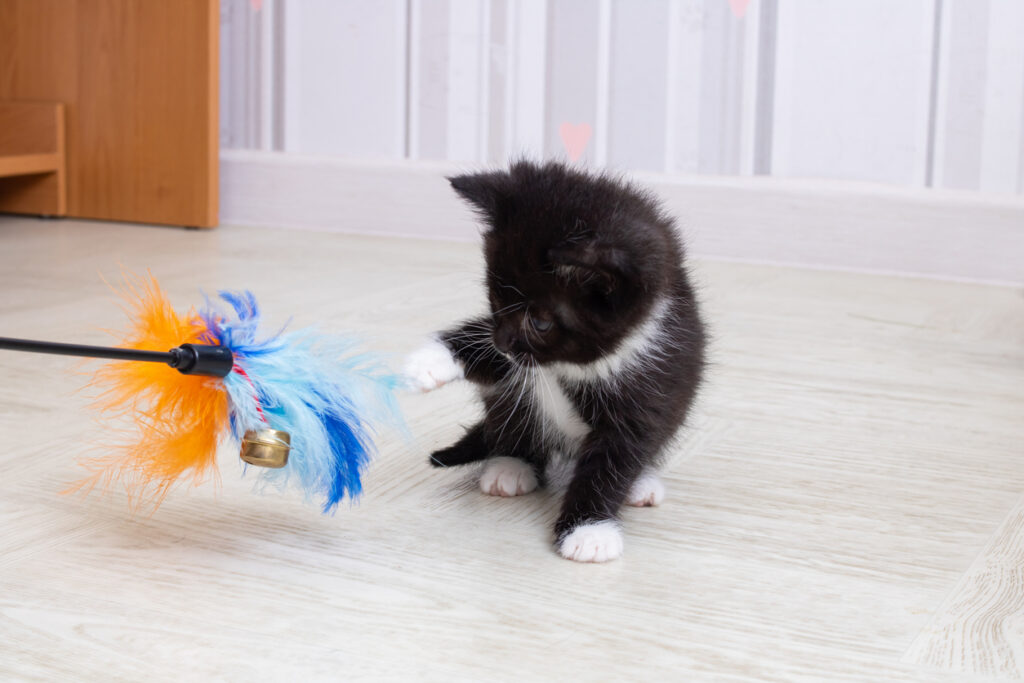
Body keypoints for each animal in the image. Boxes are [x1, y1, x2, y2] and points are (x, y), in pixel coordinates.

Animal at [403, 161, 708, 565]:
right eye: (495, 298)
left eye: (541, 323)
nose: (501, 343)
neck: (572, 365)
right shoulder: (522, 364)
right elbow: (492, 361)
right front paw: (429, 362)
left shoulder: (651, 390)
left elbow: (615, 459)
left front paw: (589, 529)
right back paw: (510, 464)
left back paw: (640, 483)